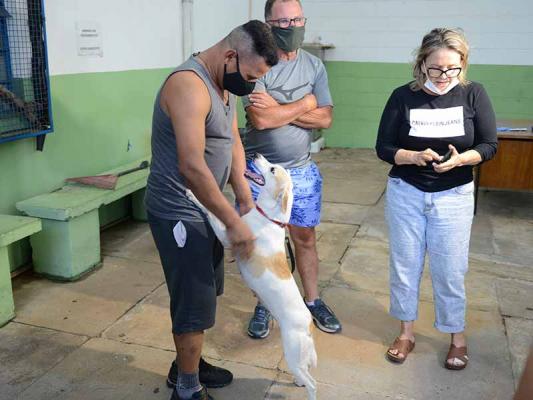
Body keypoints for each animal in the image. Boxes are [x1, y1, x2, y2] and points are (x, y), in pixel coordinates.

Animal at [186, 154, 316, 400]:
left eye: (273, 169)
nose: (256, 155)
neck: (269, 218)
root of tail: (308, 325)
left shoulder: (227, 236)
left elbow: (211, 212)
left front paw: (192, 195)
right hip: (298, 358)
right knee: (305, 375)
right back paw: (297, 382)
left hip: (292, 354)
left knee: (313, 384)